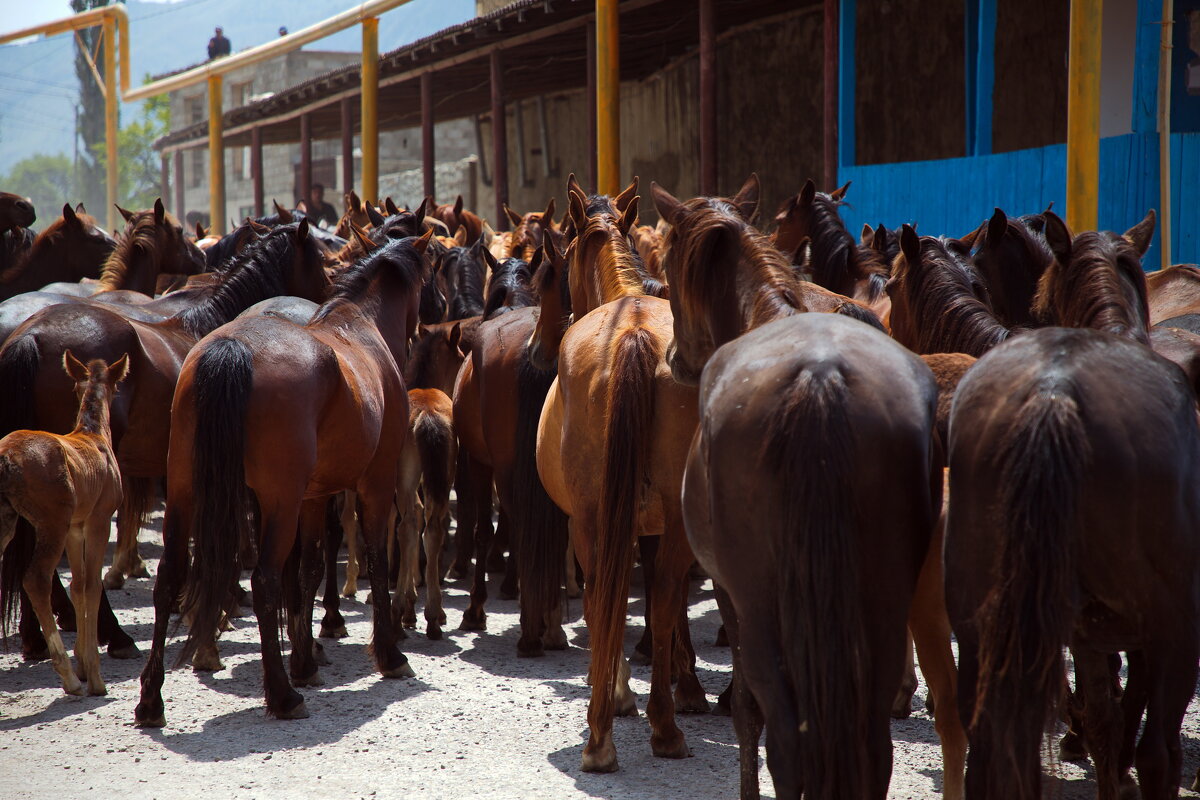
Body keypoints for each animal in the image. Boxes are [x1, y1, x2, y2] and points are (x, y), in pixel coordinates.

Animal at [0, 350, 129, 695]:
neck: (93, 436)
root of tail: (6, 456)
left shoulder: (75, 527)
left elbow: (79, 585)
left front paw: (85, 664)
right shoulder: (99, 521)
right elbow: (92, 585)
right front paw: (94, 676)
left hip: (10, 521)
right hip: (50, 524)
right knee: (36, 579)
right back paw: (68, 677)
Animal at [136, 230, 436, 724]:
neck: (359, 327)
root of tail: (232, 348)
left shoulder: (313, 497)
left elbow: (311, 570)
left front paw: (305, 660)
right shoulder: (374, 483)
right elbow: (375, 558)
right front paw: (389, 654)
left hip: (185, 492)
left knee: (171, 576)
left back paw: (151, 698)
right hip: (278, 501)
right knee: (264, 582)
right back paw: (281, 695)